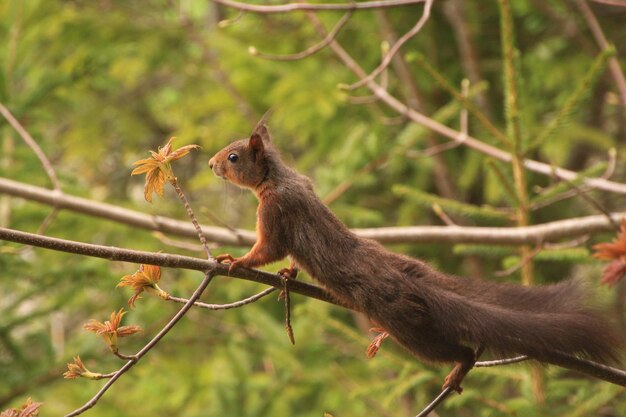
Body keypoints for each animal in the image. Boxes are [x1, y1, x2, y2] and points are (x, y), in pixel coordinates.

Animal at [207, 118, 620, 392]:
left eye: (234, 156)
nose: (210, 164)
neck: (276, 177)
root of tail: (414, 283)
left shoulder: (276, 213)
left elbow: (269, 250)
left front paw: (236, 262)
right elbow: (289, 259)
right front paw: (289, 276)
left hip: (407, 326)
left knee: (453, 350)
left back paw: (460, 367)